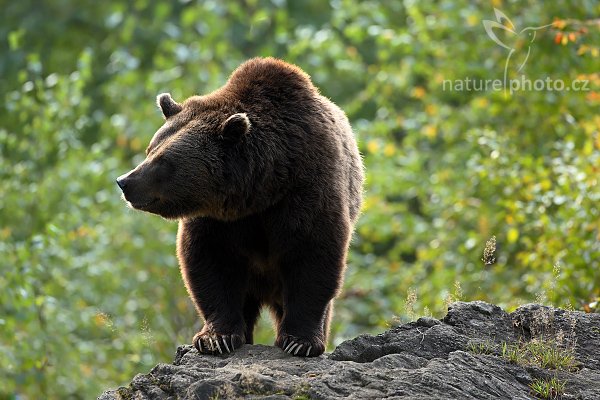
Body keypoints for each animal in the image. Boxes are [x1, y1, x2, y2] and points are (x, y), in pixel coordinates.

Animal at [115, 57, 364, 356]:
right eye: (150, 149)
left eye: (164, 161)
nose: (125, 181)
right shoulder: (218, 220)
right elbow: (211, 264)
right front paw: (216, 338)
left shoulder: (307, 188)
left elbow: (313, 256)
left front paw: (299, 342)